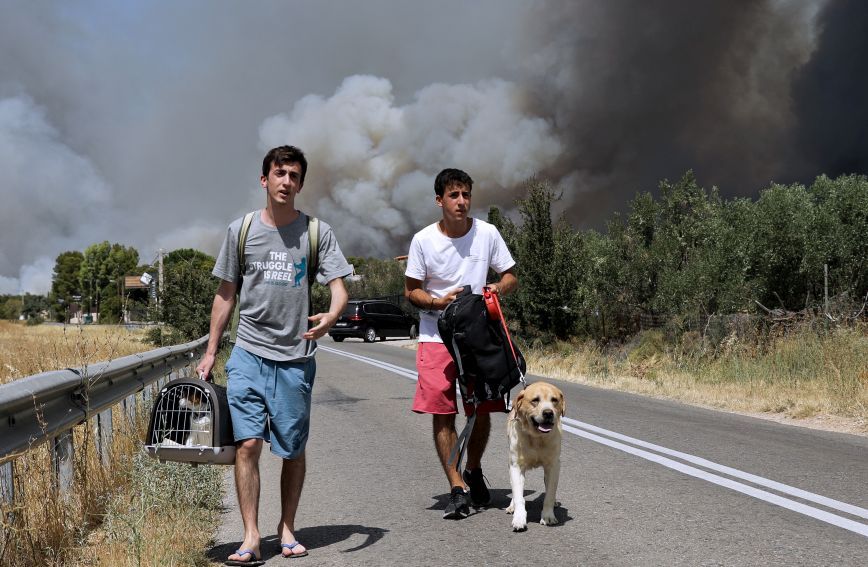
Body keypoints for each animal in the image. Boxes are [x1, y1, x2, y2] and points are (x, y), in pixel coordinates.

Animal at [506, 382, 568, 532]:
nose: (548, 413)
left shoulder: (553, 466)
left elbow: (549, 495)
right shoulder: (516, 466)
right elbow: (519, 496)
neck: (537, 438)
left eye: (554, 400)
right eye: (535, 400)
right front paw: (519, 518)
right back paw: (512, 506)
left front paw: (548, 516)